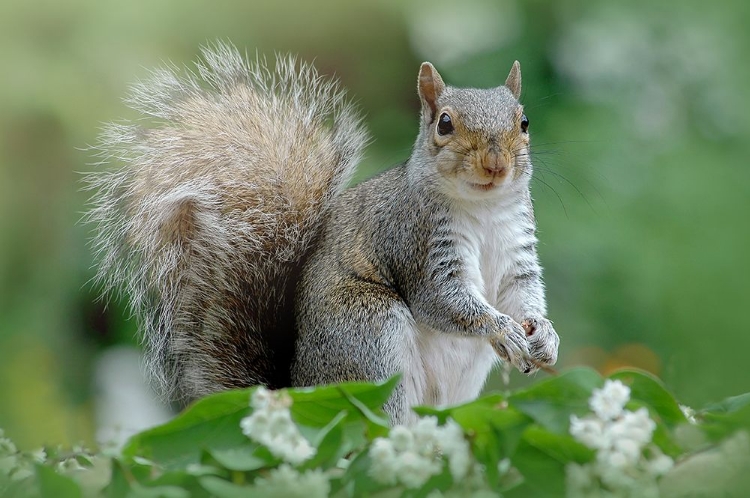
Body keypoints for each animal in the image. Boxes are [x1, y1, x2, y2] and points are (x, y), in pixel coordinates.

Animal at [86, 42, 560, 424]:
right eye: (444, 123)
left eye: (524, 122)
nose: (496, 165)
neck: (482, 209)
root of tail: (298, 390)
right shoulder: (415, 241)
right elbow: (443, 301)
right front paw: (503, 329)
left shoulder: (517, 251)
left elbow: (523, 293)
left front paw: (544, 335)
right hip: (368, 335)